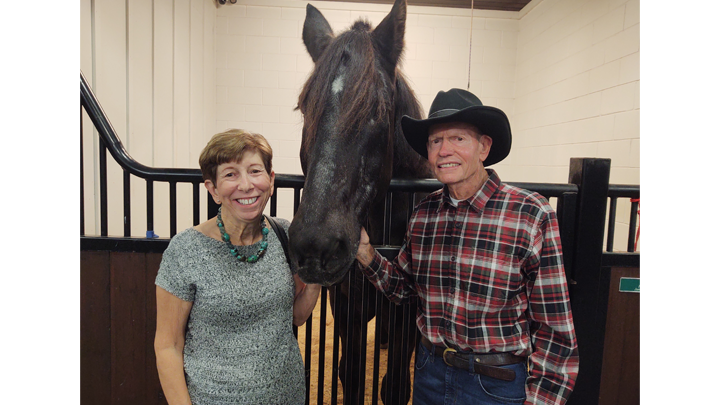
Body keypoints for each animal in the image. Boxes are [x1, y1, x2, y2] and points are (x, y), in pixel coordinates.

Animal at [288, 1, 434, 402]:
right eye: (304, 108)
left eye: (378, 110)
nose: (316, 246)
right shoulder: (346, 308)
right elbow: (348, 374)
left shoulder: (406, 314)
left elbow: (395, 386)